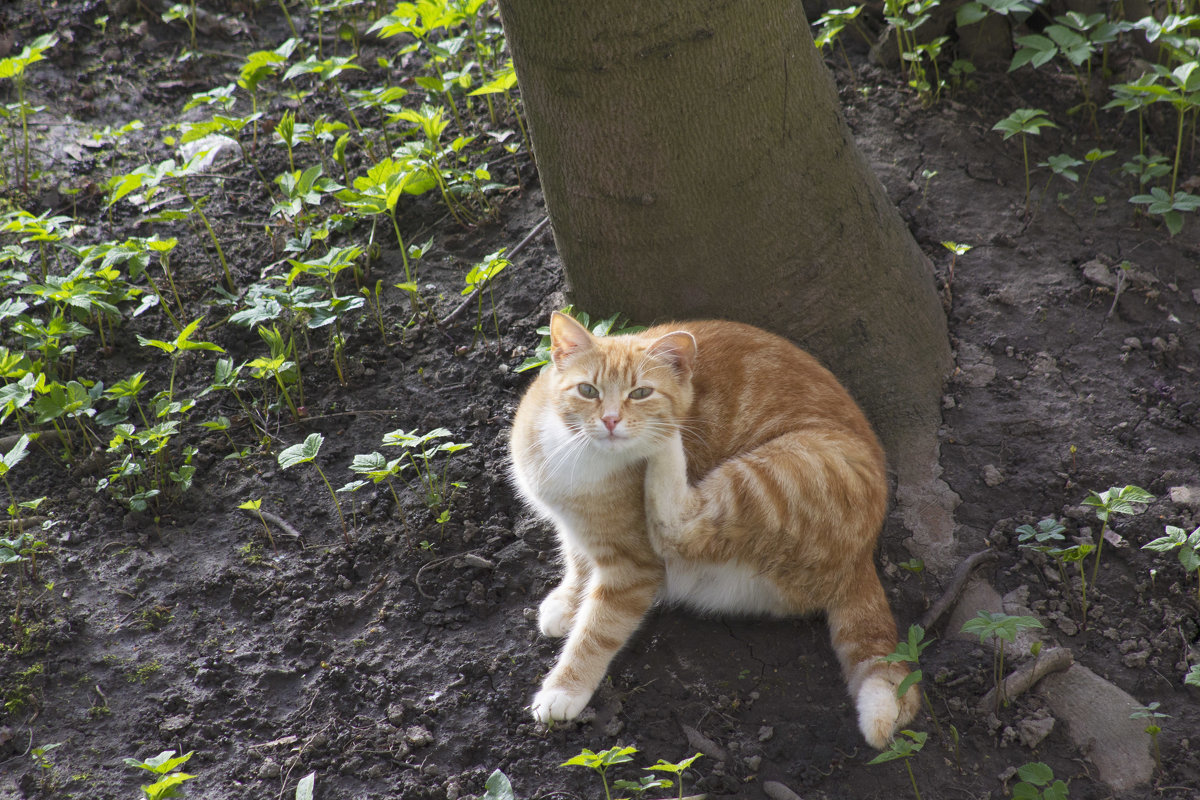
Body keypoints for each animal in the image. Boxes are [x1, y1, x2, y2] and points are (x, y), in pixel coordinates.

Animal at [508, 311, 916, 753]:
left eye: (641, 393)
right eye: (587, 390)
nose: (612, 420)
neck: (580, 455)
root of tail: (863, 556)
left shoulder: (634, 570)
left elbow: (596, 631)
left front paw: (563, 689)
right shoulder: (574, 524)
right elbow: (577, 558)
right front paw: (568, 602)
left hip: (781, 471)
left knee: (679, 525)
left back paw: (666, 442)